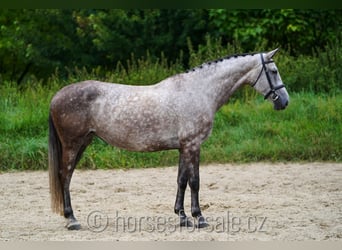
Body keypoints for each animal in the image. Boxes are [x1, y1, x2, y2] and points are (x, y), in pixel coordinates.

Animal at [48, 48, 288, 230]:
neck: (199, 91)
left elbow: (181, 180)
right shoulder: (193, 145)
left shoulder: (183, 147)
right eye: (274, 71)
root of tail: (56, 96)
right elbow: (195, 181)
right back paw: (72, 219)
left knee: (66, 176)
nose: (284, 101)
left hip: (83, 143)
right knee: (65, 176)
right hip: (73, 144)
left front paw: (182, 217)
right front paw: (199, 218)